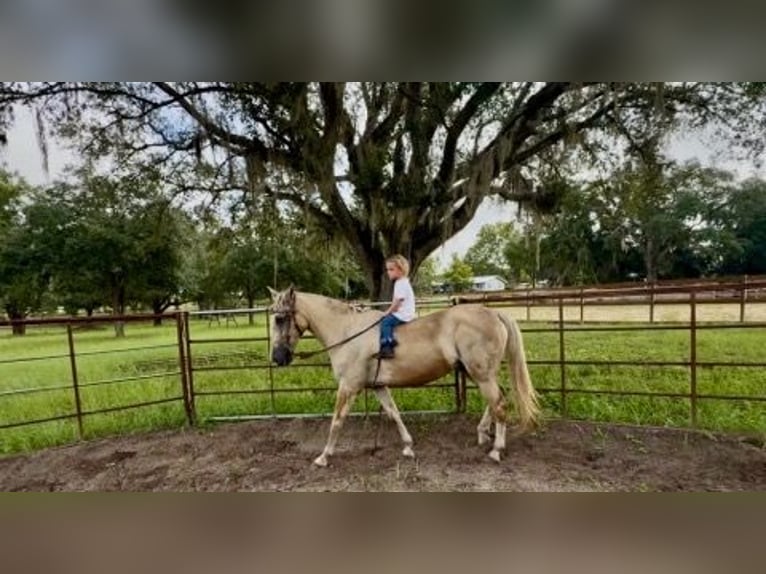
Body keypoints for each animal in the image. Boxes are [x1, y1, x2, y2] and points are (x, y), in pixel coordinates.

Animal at [267, 286, 540, 467]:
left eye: (280, 318)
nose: (277, 358)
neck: (347, 332)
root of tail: (493, 313)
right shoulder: (378, 386)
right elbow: (393, 413)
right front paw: (408, 447)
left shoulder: (348, 387)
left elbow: (337, 421)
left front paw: (324, 456)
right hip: (476, 372)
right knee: (496, 400)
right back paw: (483, 433)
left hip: (481, 374)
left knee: (499, 404)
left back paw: (496, 450)